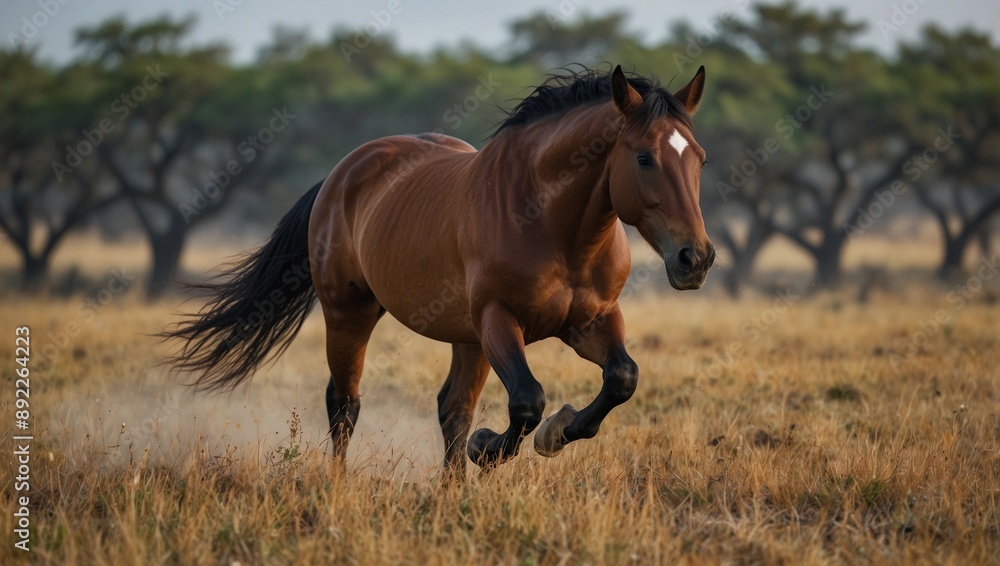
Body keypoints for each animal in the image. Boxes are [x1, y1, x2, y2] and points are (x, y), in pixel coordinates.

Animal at [163, 65, 715, 478]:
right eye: (643, 157)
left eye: (700, 159)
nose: (696, 259)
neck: (550, 223)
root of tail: (341, 175)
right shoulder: (499, 320)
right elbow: (527, 401)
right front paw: (490, 447)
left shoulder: (592, 321)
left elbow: (622, 378)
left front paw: (556, 433)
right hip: (350, 314)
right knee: (345, 405)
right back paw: (340, 487)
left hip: (464, 338)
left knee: (451, 409)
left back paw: (451, 494)